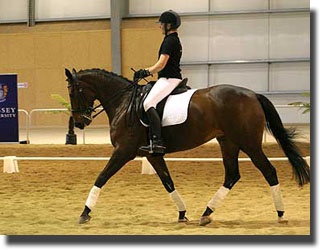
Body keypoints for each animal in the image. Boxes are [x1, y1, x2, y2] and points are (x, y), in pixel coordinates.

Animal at [65, 67, 310, 226]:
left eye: (73, 92)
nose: (79, 123)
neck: (124, 104)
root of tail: (253, 95)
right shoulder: (152, 155)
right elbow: (168, 182)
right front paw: (182, 214)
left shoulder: (123, 151)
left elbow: (101, 177)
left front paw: (84, 213)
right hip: (228, 142)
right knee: (232, 175)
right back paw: (206, 213)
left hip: (249, 143)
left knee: (269, 171)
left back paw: (280, 214)